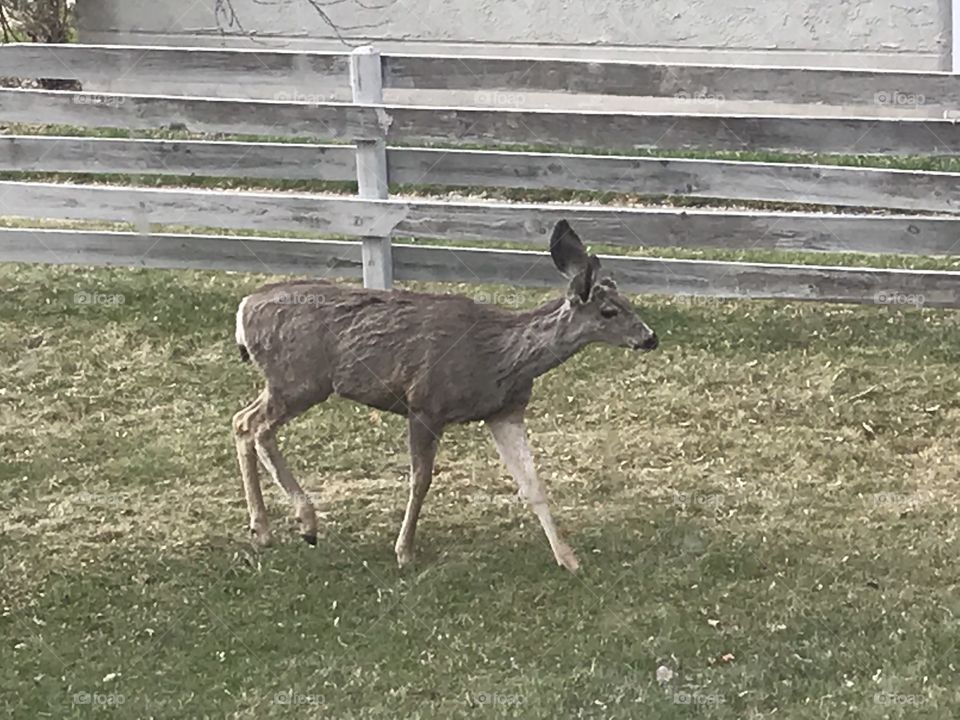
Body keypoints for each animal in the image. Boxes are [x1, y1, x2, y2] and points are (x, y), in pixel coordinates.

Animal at [231, 220, 658, 572]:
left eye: (627, 302)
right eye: (608, 311)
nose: (650, 338)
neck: (499, 356)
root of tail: (243, 308)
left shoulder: (504, 411)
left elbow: (533, 484)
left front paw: (568, 559)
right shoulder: (425, 402)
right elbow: (420, 480)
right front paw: (404, 551)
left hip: (287, 383)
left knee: (241, 420)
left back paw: (263, 530)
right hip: (300, 380)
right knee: (258, 427)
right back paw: (306, 522)